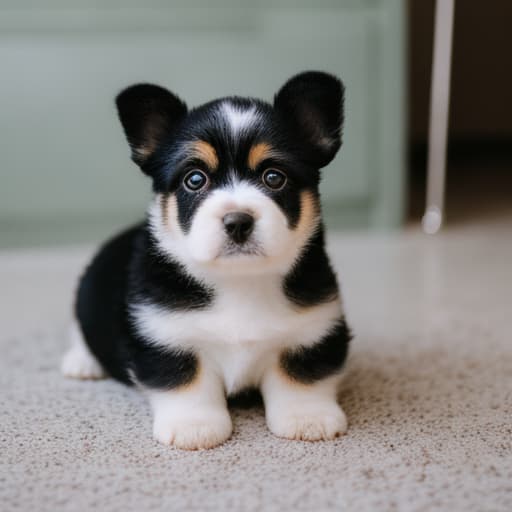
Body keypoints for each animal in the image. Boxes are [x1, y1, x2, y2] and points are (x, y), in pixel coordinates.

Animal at [61, 71, 352, 448]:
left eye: (274, 177)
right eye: (195, 179)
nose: (238, 222)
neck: (239, 281)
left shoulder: (313, 331)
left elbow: (302, 378)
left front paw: (308, 418)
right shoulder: (167, 337)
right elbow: (188, 383)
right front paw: (194, 427)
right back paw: (81, 361)